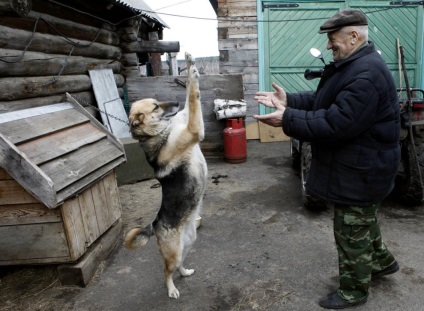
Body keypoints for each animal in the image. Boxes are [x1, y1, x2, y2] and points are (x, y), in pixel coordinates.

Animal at [123, 53, 208, 300]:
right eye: (155, 106)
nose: (174, 104)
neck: (160, 134)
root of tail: (154, 224)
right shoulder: (194, 129)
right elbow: (193, 97)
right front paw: (192, 74)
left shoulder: (186, 119)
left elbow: (190, 96)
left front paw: (190, 66)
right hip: (173, 251)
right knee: (166, 270)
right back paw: (171, 289)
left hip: (187, 243)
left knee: (178, 265)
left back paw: (185, 273)